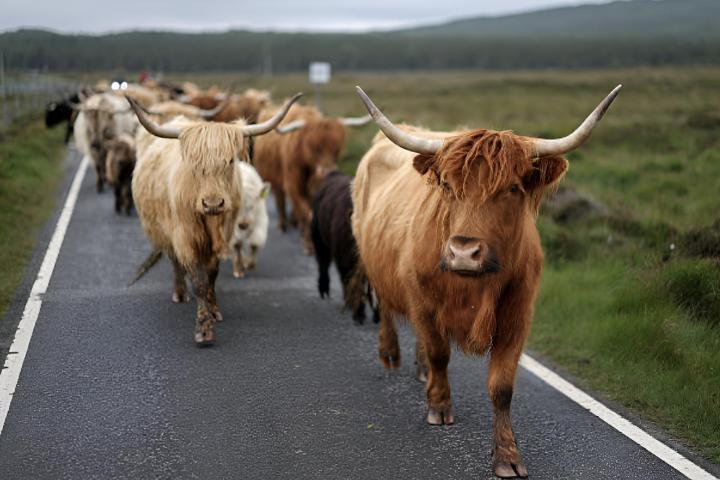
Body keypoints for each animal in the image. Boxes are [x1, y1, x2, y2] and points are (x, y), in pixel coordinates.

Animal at [126, 92, 301, 345]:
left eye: (230, 161)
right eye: (194, 164)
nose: (212, 204)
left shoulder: (224, 236)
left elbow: (211, 275)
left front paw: (214, 309)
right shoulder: (185, 237)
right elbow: (198, 281)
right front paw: (203, 327)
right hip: (164, 232)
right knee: (175, 262)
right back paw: (180, 293)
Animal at [252, 103, 370, 253]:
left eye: (337, 150)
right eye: (315, 149)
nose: (327, 171)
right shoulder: (293, 185)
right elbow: (305, 212)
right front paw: (308, 244)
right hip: (275, 180)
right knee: (281, 201)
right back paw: (283, 226)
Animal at [351, 85, 621, 478]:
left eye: (511, 188)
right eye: (447, 185)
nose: (463, 252)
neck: (474, 287)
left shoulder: (517, 315)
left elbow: (501, 387)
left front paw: (507, 455)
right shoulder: (424, 302)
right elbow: (440, 353)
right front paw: (440, 407)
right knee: (387, 304)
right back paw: (391, 354)